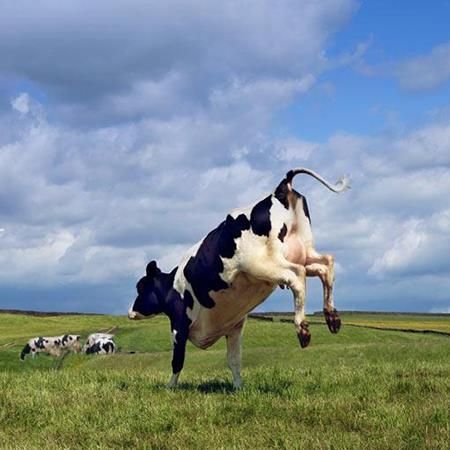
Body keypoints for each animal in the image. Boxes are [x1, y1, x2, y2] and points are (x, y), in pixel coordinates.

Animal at [128, 168, 350, 386]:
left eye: (140, 287)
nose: (130, 311)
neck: (173, 287)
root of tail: (278, 190)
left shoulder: (178, 325)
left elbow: (177, 361)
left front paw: (170, 388)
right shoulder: (234, 327)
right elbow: (234, 360)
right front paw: (238, 387)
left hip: (263, 263)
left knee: (296, 275)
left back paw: (302, 329)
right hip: (304, 253)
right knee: (326, 265)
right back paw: (332, 317)